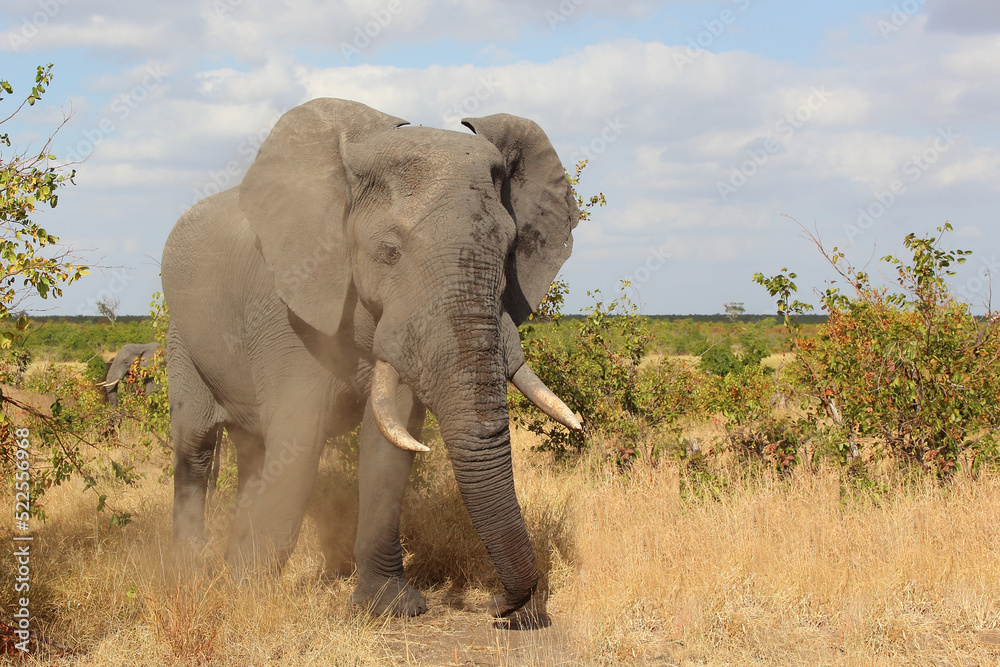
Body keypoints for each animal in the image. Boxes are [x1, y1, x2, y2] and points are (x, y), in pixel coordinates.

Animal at [161, 98, 582, 619]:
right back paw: (191, 568)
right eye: (389, 251)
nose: (501, 605)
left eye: (508, 249)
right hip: (180, 336)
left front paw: (389, 608)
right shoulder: (287, 307)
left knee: (253, 451)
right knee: (196, 445)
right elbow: (300, 439)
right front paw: (247, 595)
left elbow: (391, 440)